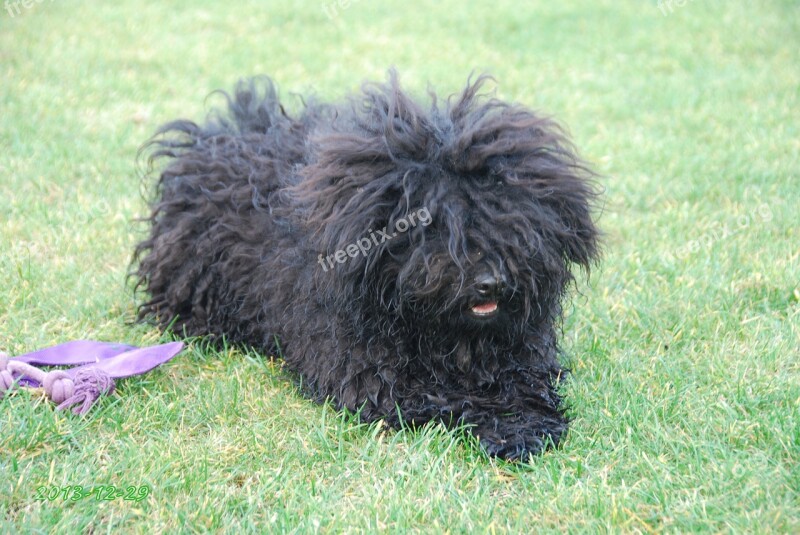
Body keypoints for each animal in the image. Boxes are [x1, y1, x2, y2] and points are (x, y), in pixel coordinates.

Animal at [136, 72, 600, 460]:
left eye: (512, 222)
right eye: (431, 225)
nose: (490, 282)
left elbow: (524, 382)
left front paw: (529, 420)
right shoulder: (368, 372)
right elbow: (447, 399)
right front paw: (508, 429)